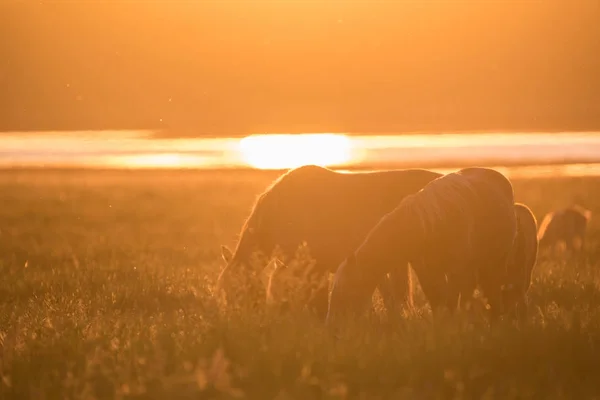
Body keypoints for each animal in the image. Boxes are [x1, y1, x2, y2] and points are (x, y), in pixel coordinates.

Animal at [326, 167, 516, 324]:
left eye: (347, 288)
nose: (332, 323)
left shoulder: (457, 269)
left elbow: (453, 299)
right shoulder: (426, 269)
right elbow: (436, 297)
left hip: (497, 261)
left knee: (491, 290)